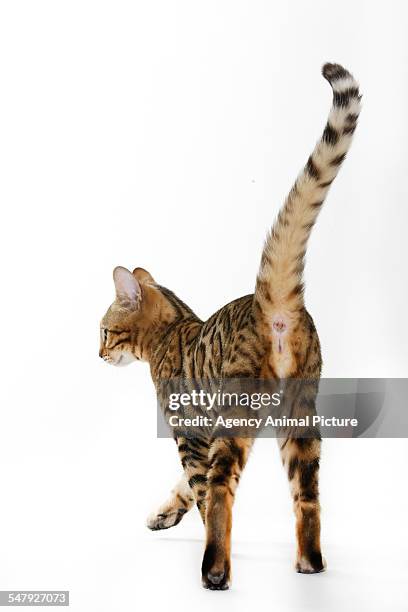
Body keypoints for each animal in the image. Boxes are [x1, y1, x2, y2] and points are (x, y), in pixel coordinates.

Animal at [99, 62, 360, 588]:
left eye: (102, 333)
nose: (97, 354)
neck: (172, 329)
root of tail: (270, 301)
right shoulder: (200, 435)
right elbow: (184, 488)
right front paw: (163, 515)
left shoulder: (191, 432)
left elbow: (199, 489)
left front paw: (197, 530)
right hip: (300, 418)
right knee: (308, 497)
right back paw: (309, 562)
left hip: (237, 416)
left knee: (220, 490)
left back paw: (215, 568)